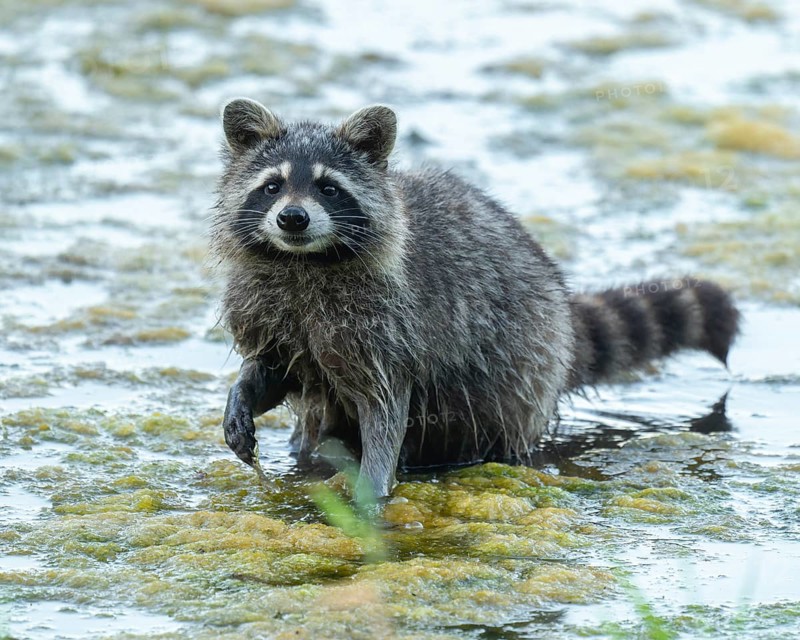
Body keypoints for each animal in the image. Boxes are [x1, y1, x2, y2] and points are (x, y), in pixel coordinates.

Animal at [211, 99, 739, 497]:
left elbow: (385, 407)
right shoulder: (267, 307)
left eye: (328, 188)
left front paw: (376, 484)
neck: (303, 261)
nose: (293, 218)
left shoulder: (389, 327)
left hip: (522, 372)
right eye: (272, 186)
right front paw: (242, 395)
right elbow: (275, 368)